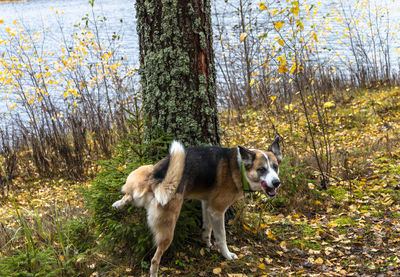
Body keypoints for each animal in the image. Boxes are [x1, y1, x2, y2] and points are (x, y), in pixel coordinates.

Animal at [111, 136, 282, 276]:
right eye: (261, 169)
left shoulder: (207, 205)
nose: (277, 182)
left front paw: (207, 244)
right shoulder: (217, 210)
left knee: (129, 195)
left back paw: (118, 204)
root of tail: (154, 181)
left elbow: (207, 229)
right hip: (168, 228)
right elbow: (221, 237)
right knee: (154, 259)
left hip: (145, 169)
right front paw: (227, 255)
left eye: (275, 167)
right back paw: (154, 272)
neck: (239, 167)